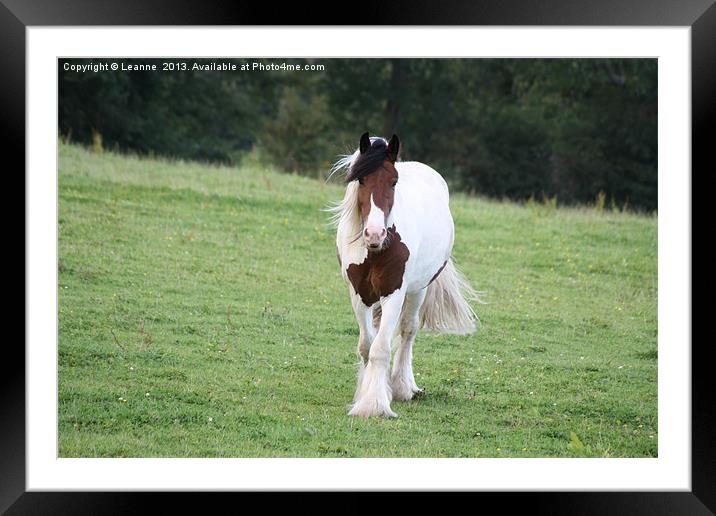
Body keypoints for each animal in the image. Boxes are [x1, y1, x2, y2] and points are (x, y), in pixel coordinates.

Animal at [330, 133, 482, 420]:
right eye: (360, 179)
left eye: (393, 181)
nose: (374, 233)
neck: (376, 250)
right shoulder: (358, 294)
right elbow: (367, 346)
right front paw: (365, 395)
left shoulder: (394, 293)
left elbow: (380, 349)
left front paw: (374, 405)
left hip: (418, 289)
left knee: (408, 330)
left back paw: (401, 387)